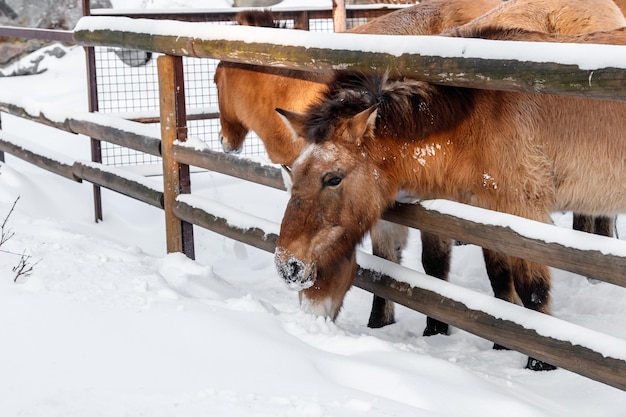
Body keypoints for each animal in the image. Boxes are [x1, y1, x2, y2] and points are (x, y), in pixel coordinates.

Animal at [276, 46, 624, 368]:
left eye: (333, 178)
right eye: (294, 172)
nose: (287, 266)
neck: (481, 121)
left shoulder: (524, 213)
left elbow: (533, 291)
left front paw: (540, 365)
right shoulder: (486, 213)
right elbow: (499, 279)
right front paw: (502, 344)